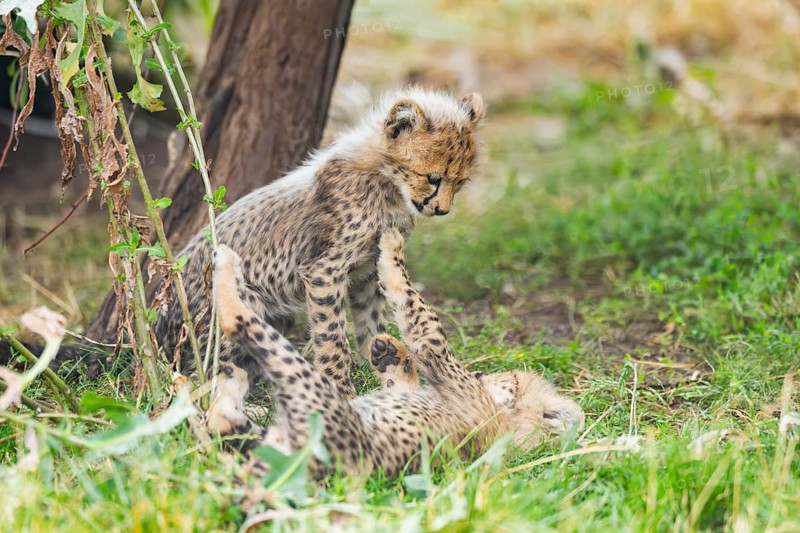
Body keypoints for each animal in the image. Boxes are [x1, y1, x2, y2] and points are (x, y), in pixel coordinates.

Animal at [155, 88, 486, 398]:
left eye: (460, 182)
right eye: (433, 178)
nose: (442, 210)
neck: (387, 183)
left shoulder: (368, 272)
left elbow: (370, 322)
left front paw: (378, 362)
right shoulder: (324, 271)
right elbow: (332, 334)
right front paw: (342, 388)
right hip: (239, 304)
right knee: (203, 373)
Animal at [205, 230, 585, 479]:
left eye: (503, 378)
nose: (481, 375)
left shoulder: (435, 350)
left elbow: (411, 299)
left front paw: (391, 244)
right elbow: (403, 370)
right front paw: (389, 353)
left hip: (305, 384)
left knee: (237, 322)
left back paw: (226, 263)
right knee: (222, 423)